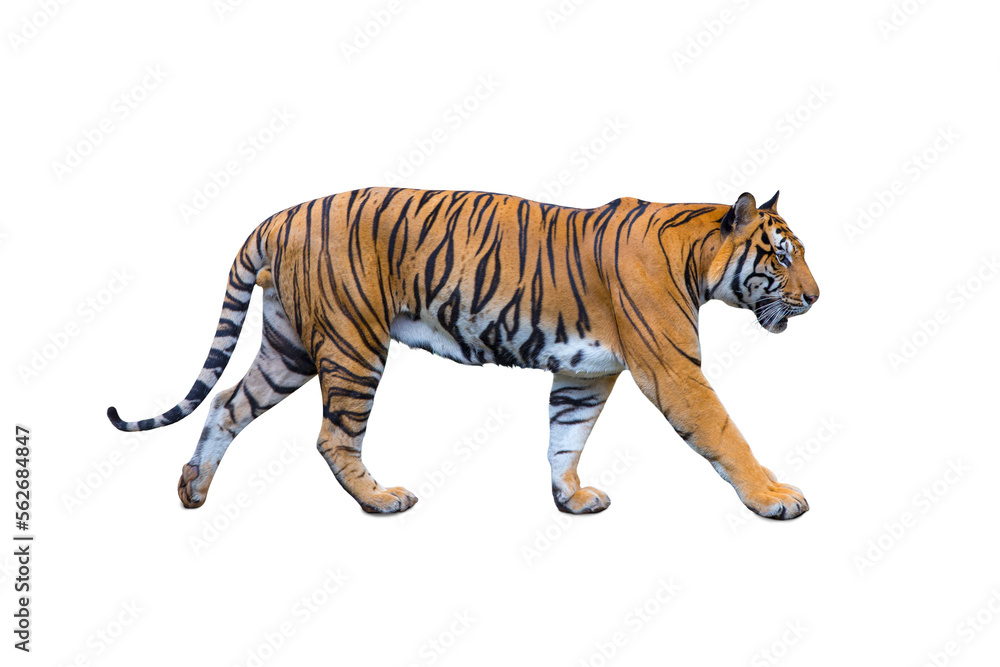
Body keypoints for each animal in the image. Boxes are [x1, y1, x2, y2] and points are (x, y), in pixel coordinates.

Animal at [108, 187, 819, 518]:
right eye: (782, 257)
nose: (816, 298)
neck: (700, 257)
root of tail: (280, 216)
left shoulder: (585, 376)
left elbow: (566, 437)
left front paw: (570, 499)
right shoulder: (674, 371)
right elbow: (725, 434)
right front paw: (775, 497)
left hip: (289, 348)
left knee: (228, 404)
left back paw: (192, 490)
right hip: (353, 343)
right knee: (333, 436)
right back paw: (381, 500)